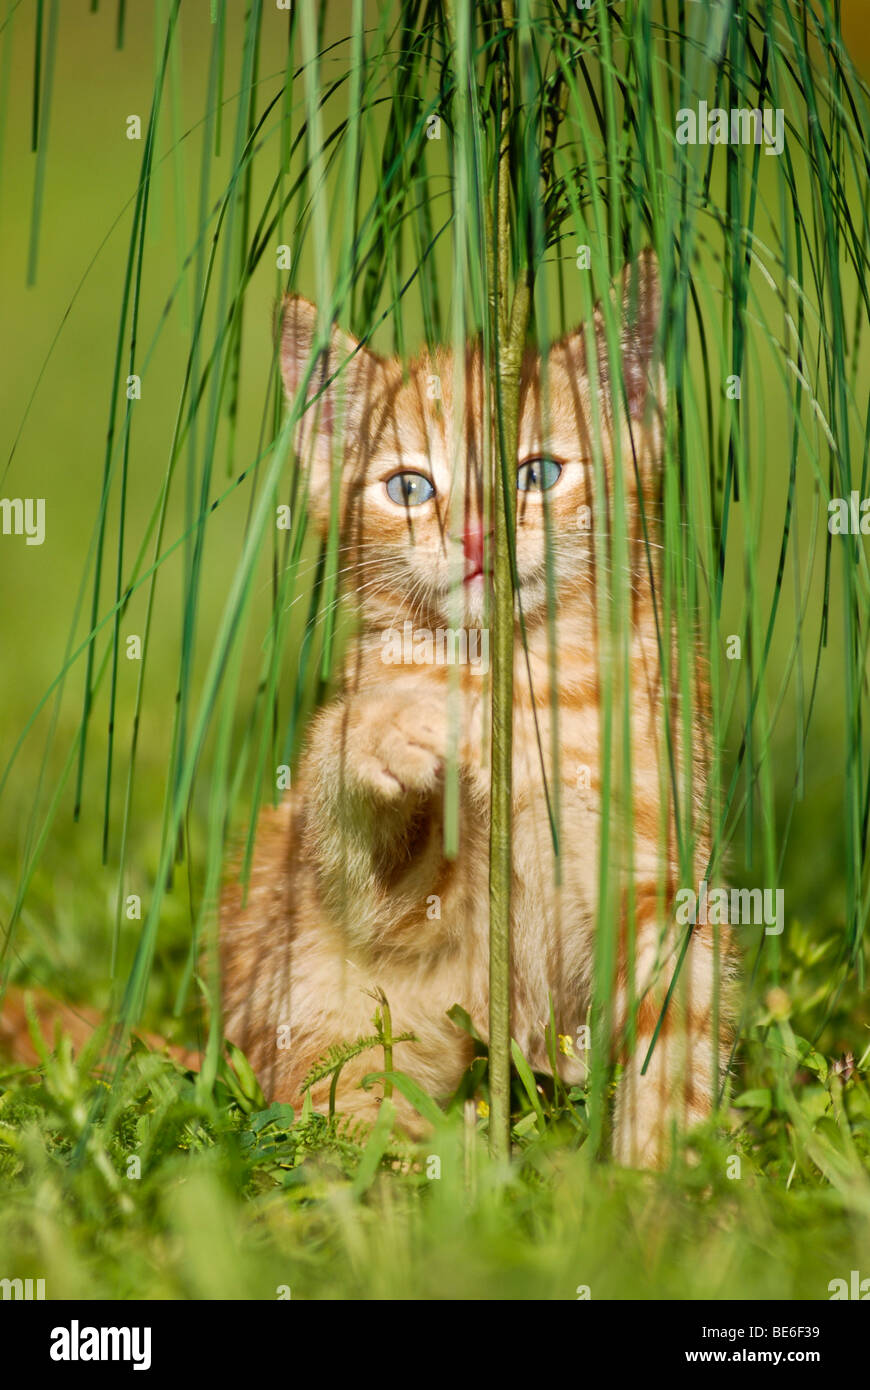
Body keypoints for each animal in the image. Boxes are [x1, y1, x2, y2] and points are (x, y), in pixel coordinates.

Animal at [218, 250, 733, 1162]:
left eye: (537, 475)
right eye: (409, 488)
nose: (473, 536)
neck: (522, 682)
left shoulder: (660, 872)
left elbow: (674, 1031)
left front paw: (660, 1170)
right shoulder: (398, 906)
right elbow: (364, 828)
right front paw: (391, 732)